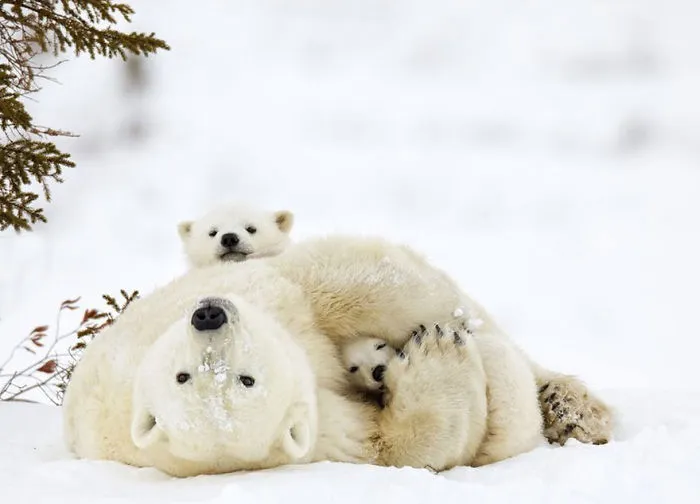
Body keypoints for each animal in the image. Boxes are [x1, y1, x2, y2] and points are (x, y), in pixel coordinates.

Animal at [62, 235, 612, 477]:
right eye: (248, 380)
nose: (209, 316)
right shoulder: (321, 436)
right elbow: (401, 445)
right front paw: (436, 350)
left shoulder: (271, 292)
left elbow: (345, 281)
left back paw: (573, 407)